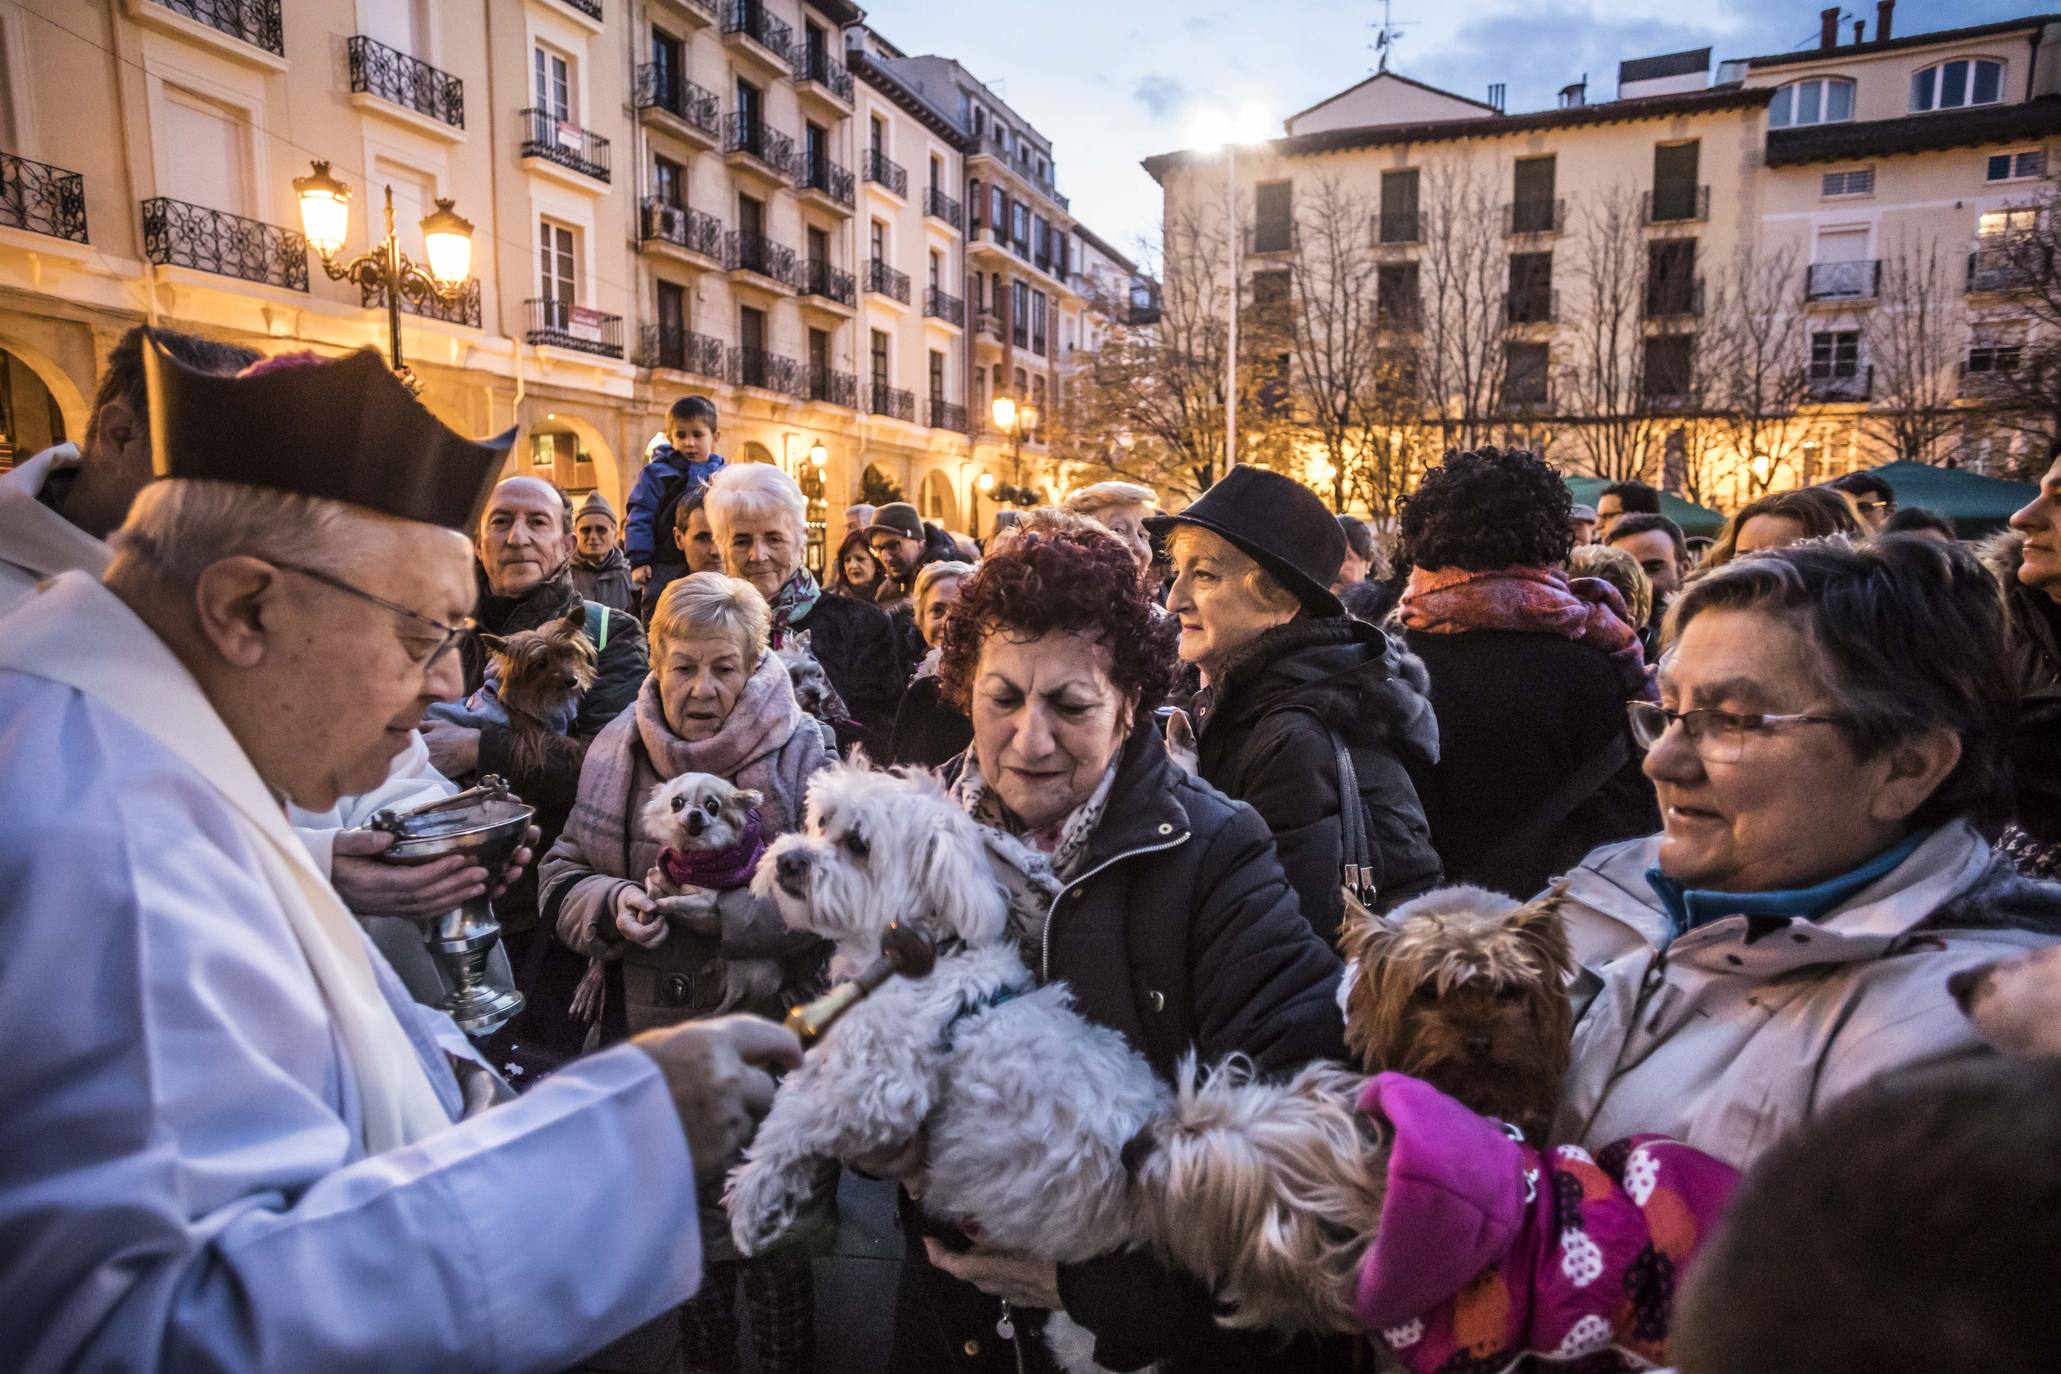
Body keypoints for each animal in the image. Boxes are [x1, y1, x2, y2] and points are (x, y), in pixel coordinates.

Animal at [733, 762, 1170, 1367]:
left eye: (859, 844)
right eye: (821, 821)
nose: (788, 860)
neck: (915, 959)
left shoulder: (878, 1085)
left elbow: (792, 1119)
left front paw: (751, 1197)